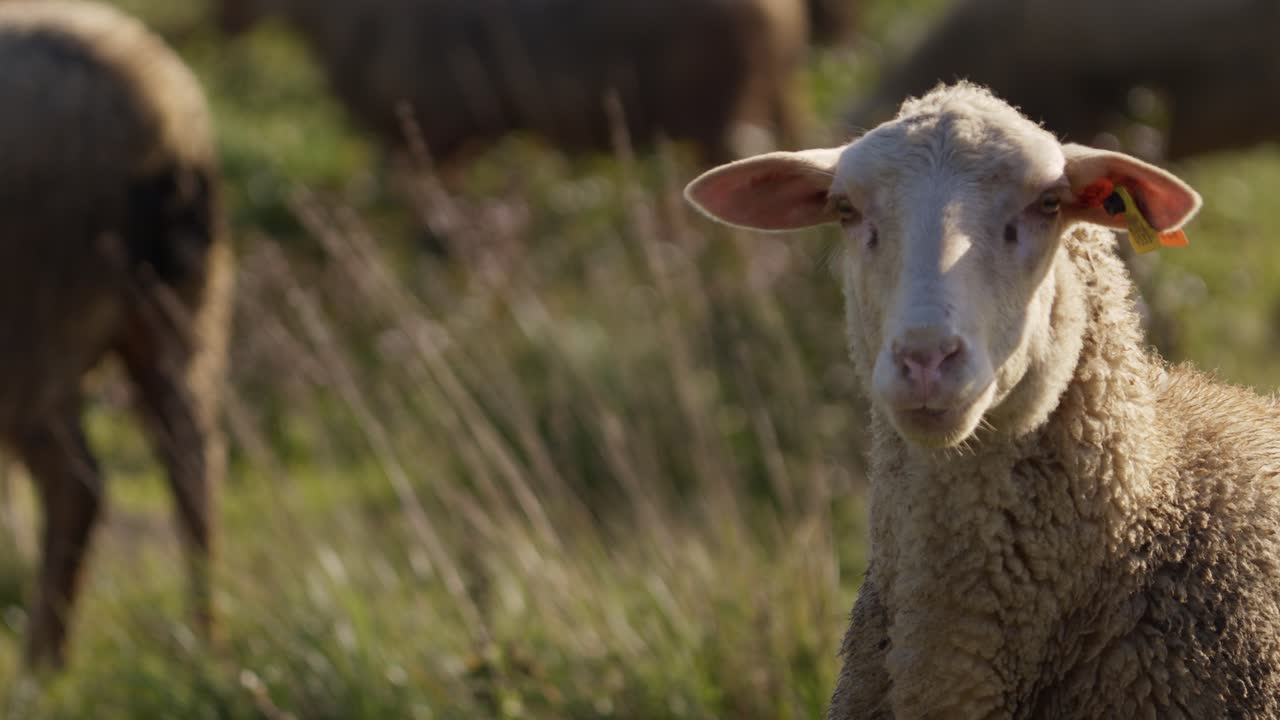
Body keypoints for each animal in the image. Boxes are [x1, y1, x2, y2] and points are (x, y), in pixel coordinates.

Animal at [0, 0, 231, 668]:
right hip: (182, 313)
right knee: (194, 462)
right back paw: (210, 647)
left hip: (31, 326)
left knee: (76, 487)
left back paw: (40, 668)